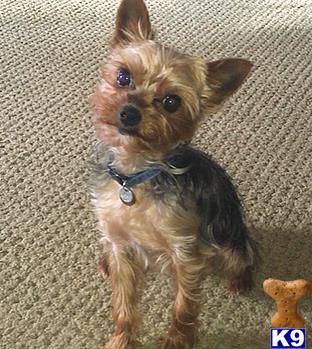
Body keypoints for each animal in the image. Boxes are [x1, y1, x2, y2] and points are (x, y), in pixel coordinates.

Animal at [90, 1, 258, 346]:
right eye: (123, 76)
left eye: (171, 102)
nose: (129, 113)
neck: (135, 176)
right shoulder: (117, 241)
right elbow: (124, 303)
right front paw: (122, 339)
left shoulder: (185, 251)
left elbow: (184, 305)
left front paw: (177, 339)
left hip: (226, 227)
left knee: (242, 253)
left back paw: (241, 279)